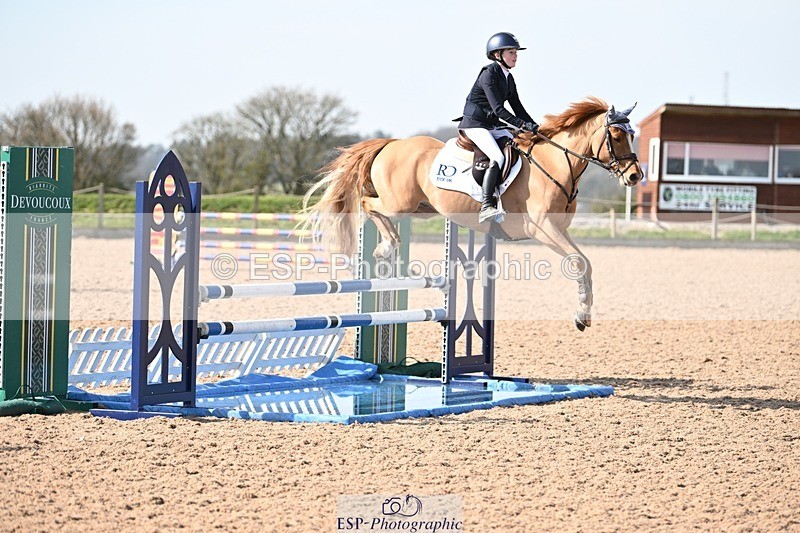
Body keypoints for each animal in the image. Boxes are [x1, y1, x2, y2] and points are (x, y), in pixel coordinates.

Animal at [303, 97, 643, 330]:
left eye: (632, 135)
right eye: (615, 137)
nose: (634, 176)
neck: (555, 164)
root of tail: (391, 143)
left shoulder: (560, 229)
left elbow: (585, 262)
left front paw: (583, 314)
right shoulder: (542, 228)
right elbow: (579, 262)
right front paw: (582, 314)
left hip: (422, 208)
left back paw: (387, 246)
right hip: (400, 203)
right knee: (366, 203)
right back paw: (386, 245)